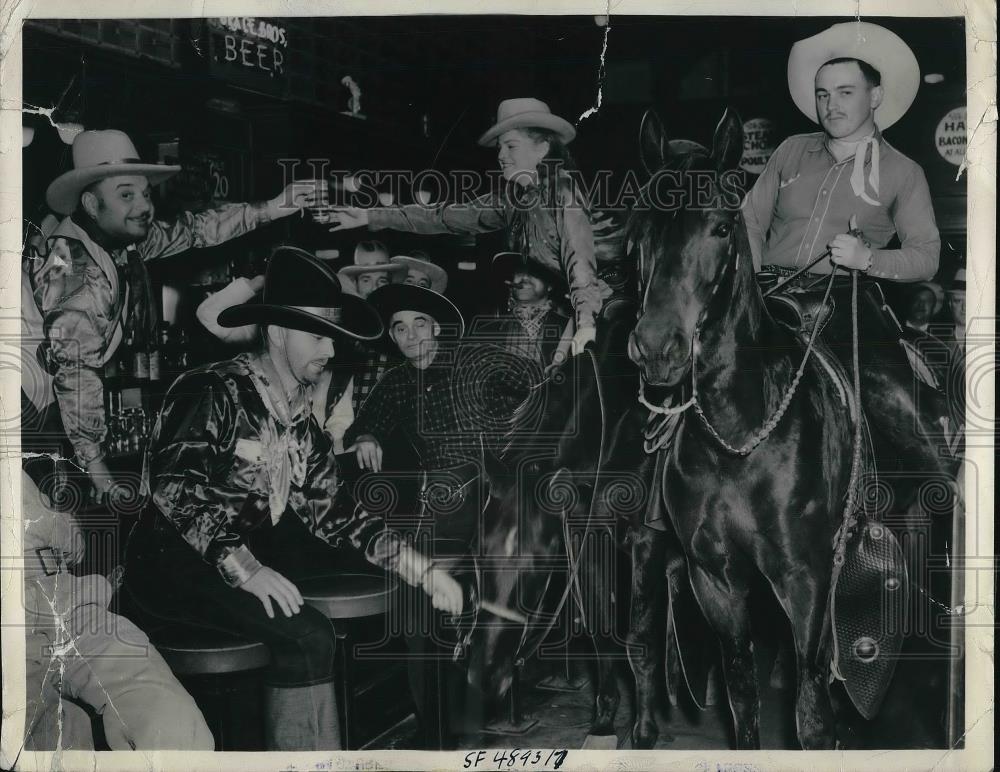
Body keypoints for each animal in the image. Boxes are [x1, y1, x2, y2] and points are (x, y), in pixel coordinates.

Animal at [620, 108, 856, 748]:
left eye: (722, 228)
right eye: (638, 232)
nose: (657, 348)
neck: (739, 440)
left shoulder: (807, 580)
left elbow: (811, 711)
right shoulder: (716, 579)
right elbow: (741, 698)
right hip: (646, 547)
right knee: (644, 645)